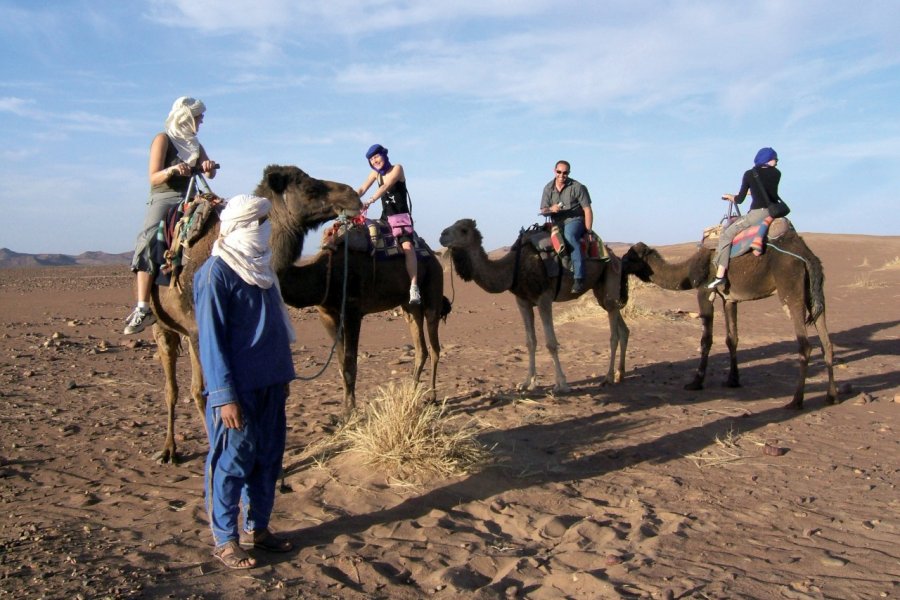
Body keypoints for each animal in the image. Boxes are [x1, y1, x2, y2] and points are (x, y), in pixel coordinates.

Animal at [147, 164, 358, 464]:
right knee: (172, 389)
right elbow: (213, 394)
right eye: (309, 188)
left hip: (187, 333)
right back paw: (169, 450)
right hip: (163, 326)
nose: (353, 195)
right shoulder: (205, 330)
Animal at [274, 230, 450, 418]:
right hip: (409, 306)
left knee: (434, 345)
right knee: (420, 347)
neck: (323, 274)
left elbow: (350, 363)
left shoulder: (352, 310)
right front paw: (345, 409)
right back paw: (411, 394)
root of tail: (433, 255)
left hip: (433, 284)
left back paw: (432, 396)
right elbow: (341, 364)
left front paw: (349, 412)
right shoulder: (327, 315)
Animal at [440, 218, 628, 392]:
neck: (514, 267)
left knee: (614, 333)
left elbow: (551, 343)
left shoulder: (544, 298)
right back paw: (620, 374)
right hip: (600, 290)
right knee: (622, 327)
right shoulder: (523, 301)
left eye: (463, 230)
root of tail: (614, 256)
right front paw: (527, 383)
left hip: (610, 275)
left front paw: (561, 384)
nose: (442, 236)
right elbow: (530, 342)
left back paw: (608, 377)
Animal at [624, 229, 840, 408]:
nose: (620, 262)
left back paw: (796, 400)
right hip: (813, 294)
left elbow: (706, 340)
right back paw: (831, 396)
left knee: (805, 345)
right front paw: (732, 380)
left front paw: (696, 382)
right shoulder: (729, 299)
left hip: (790, 289)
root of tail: (808, 257)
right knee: (826, 343)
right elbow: (732, 339)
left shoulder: (705, 291)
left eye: (631, 256)